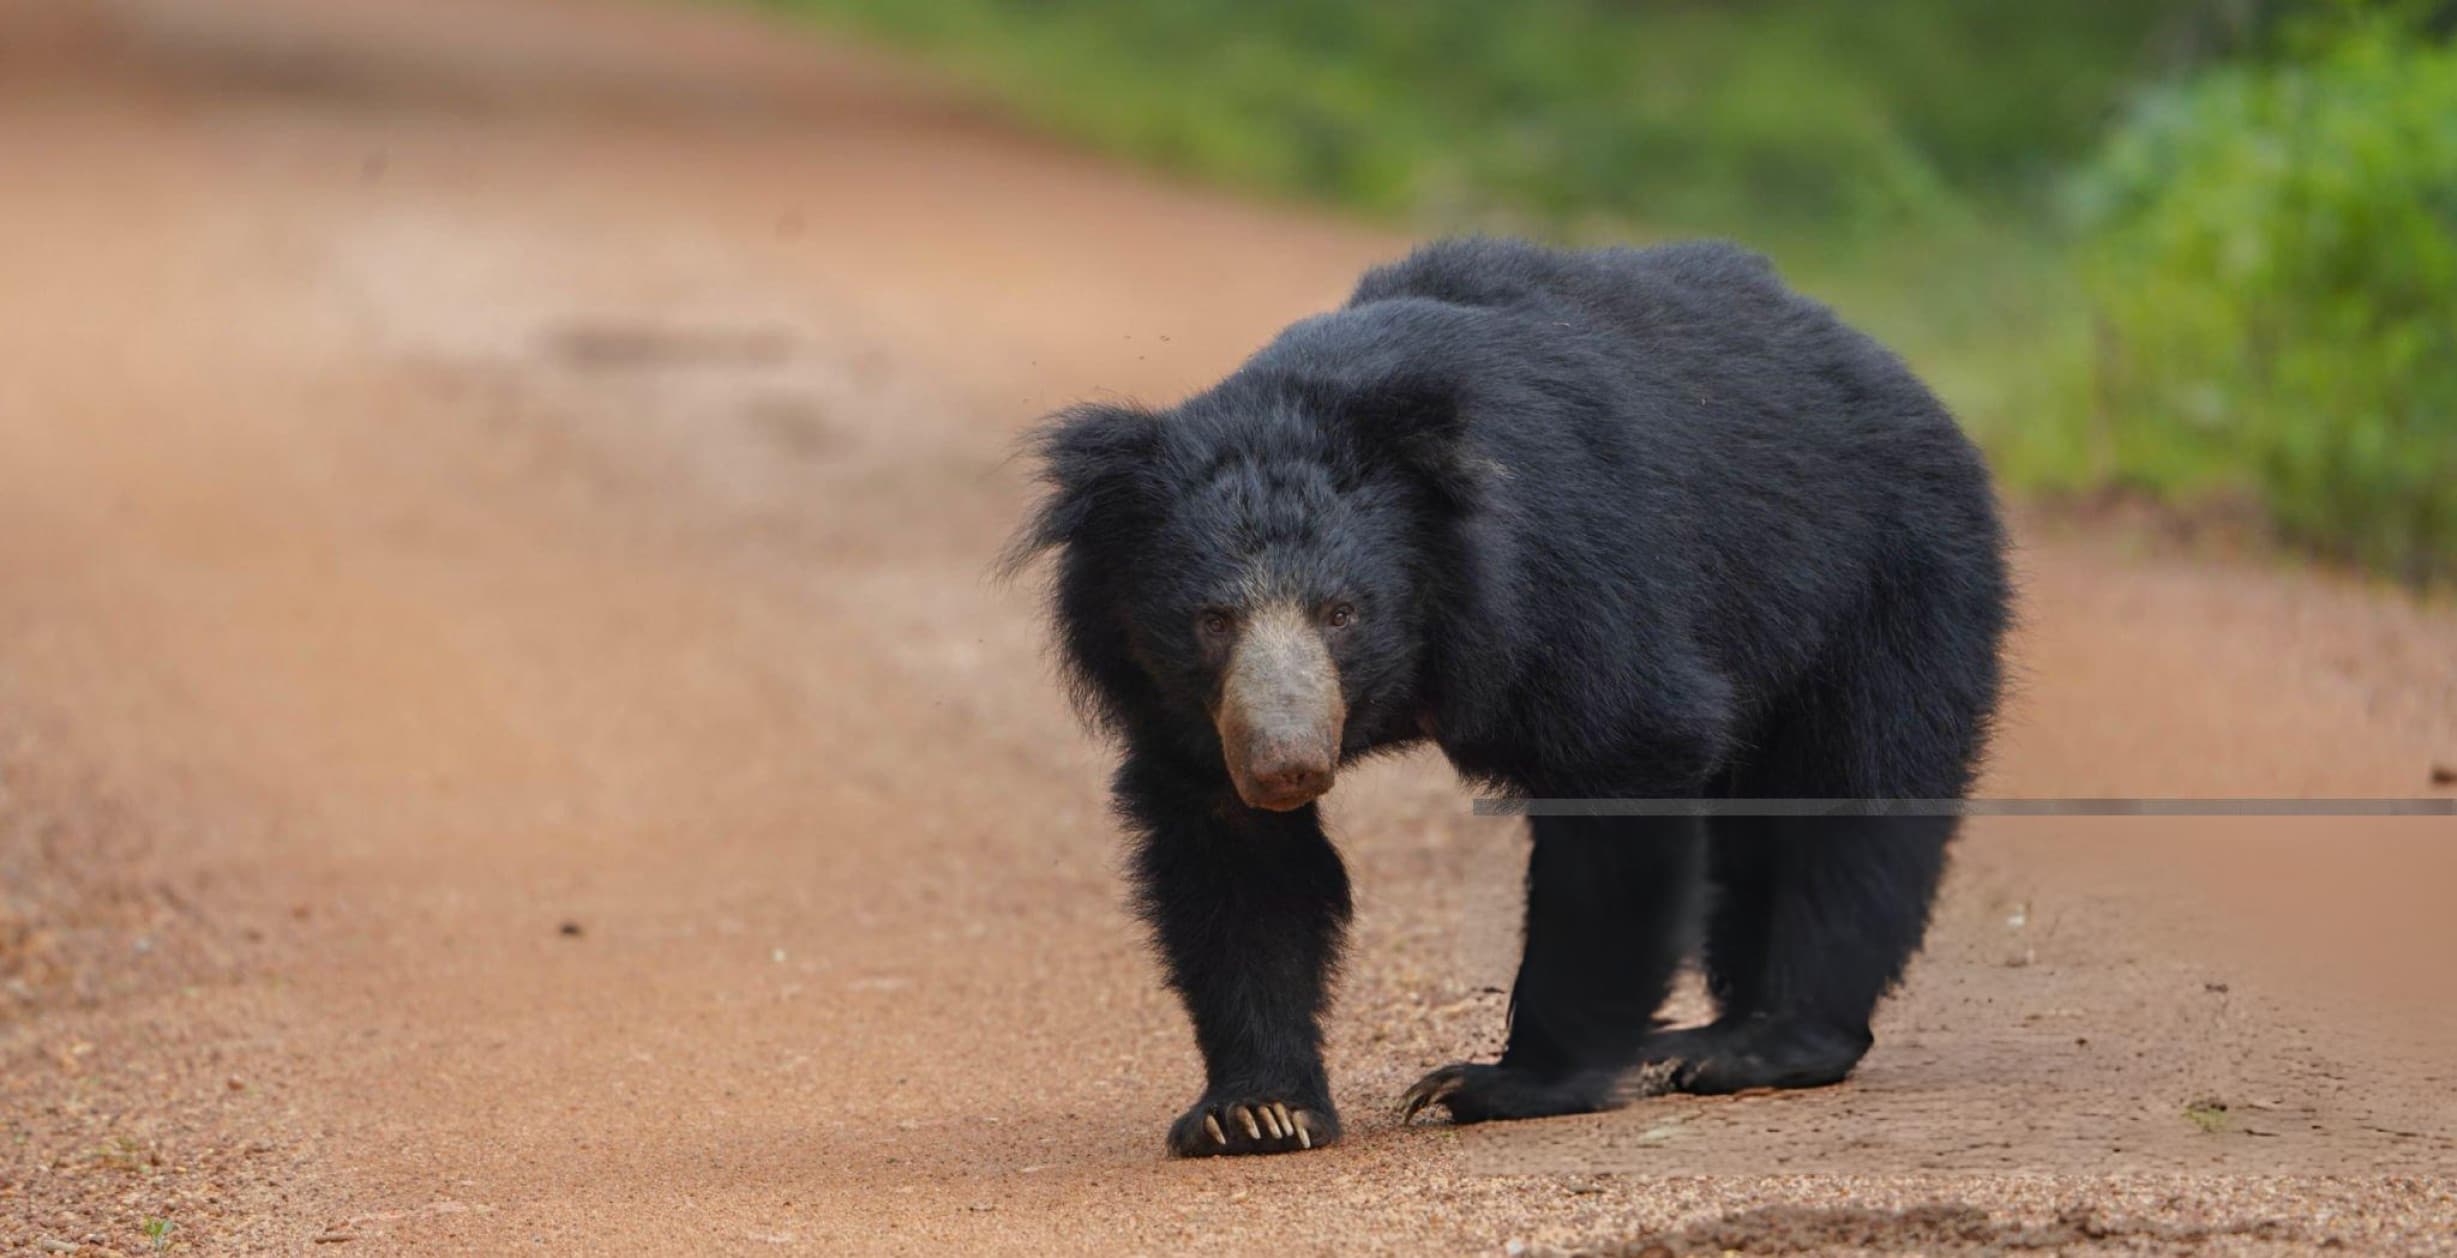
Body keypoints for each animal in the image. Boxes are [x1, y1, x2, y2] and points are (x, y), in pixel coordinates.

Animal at [1005, 237, 2009, 1157]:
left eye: (1342, 612)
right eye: (1211, 620)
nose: (1285, 765)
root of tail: (1891, 371)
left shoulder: (1568, 579)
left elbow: (1619, 774)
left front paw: (1499, 1083)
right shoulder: (1184, 710)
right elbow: (1235, 858)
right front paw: (1255, 1112)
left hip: (1884, 578)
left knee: (1849, 797)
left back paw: (1769, 1045)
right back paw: (1717, 1036)